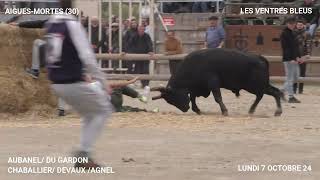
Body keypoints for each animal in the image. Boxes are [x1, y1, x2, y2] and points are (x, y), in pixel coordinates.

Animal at [151, 47, 284, 116]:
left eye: (173, 97)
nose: (184, 109)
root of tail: (260, 58)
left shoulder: (213, 83)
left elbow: (217, 98)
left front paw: (224, 111)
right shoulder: (197, 87)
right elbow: (193, 97)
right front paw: (197, 110)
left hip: (255, 86)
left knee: (263, 95)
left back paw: (254, 110)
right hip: (261, 85)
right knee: (275, 92)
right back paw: (275, 111)